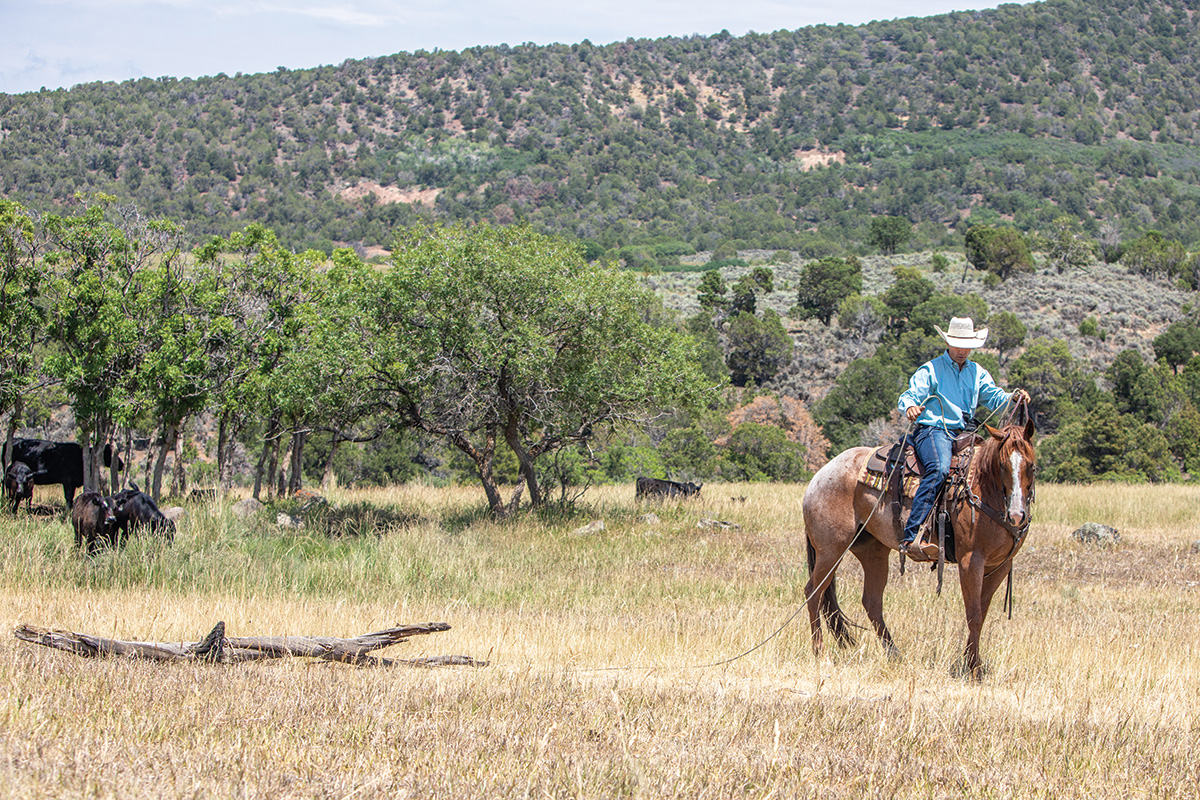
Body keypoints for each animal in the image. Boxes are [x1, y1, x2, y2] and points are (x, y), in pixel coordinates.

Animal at [801, 419, 1036, 681]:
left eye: (1031, 467)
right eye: (1003, 466)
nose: (1017, 515)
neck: (981, 487)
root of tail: (819, 476)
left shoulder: (1000, 566)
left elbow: (981, 614)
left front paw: (971, 662)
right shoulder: (971, 561)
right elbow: (974, 615)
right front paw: (973, 669)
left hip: (873, 552)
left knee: (871, 602)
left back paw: (894, 654)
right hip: (831, 549)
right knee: (813, 592)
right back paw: (820, 652)